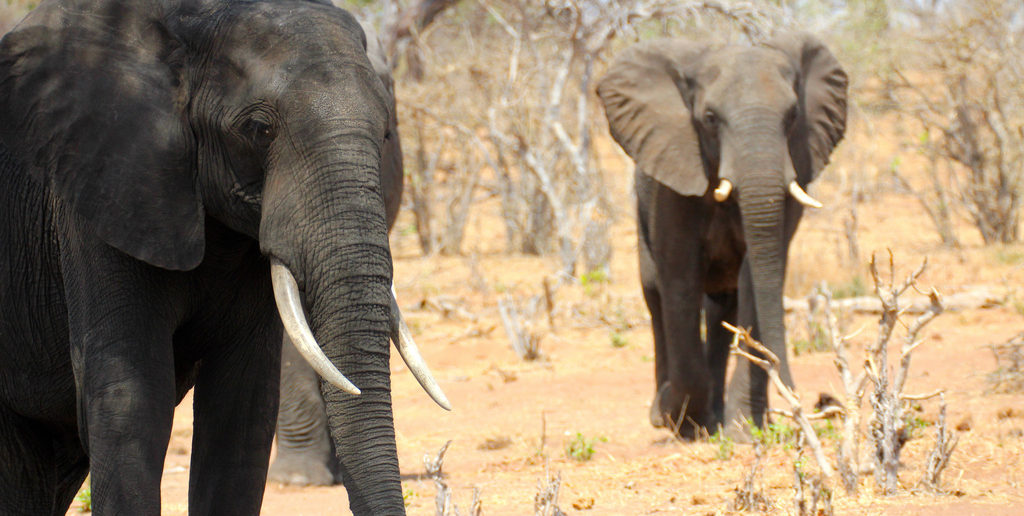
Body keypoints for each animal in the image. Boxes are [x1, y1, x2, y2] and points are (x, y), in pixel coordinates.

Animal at [597, 33, 847, 439]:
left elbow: (756, 277)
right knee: (655, 294)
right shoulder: (675, 179)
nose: (818, 401)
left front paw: (744, 431)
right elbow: (680, 280)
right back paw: (666, 414)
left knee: (722, 309)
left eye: (794, 116)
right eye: (710, 119)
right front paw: (682, 421)